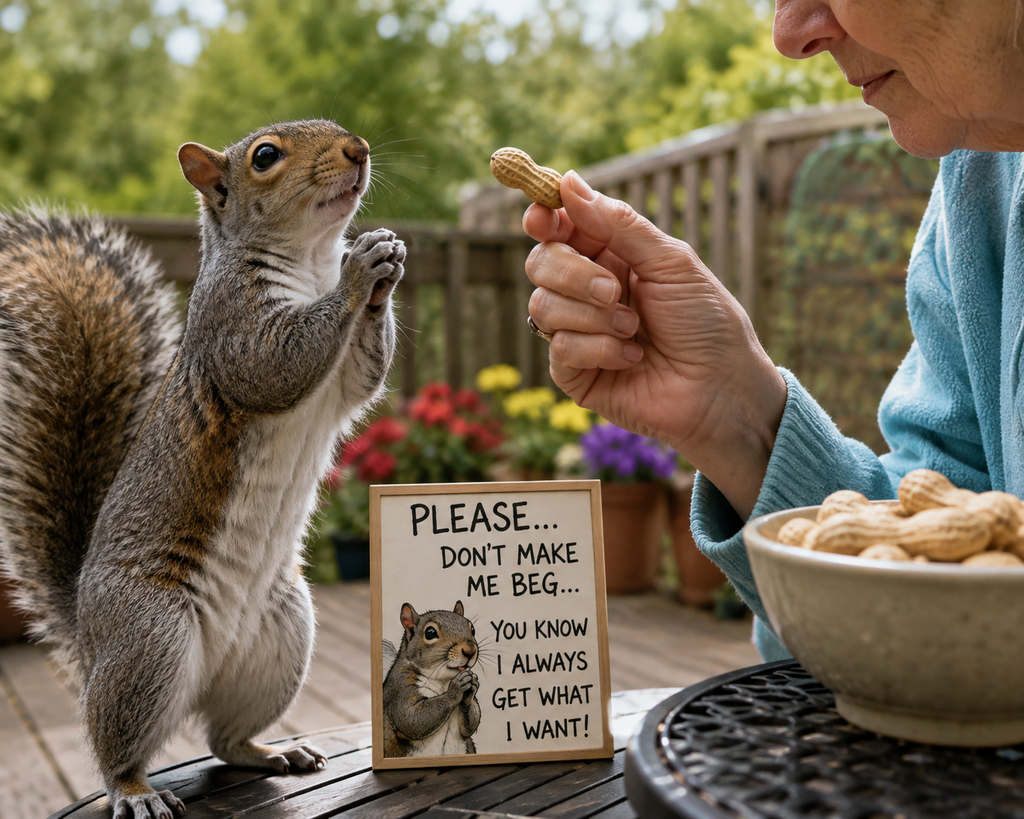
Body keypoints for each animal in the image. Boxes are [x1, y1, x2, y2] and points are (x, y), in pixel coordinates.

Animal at [0, 119, 404, 819]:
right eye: (265, 156)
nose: (357, 150)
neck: (309, 263)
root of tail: (89, 636)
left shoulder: (345, 382)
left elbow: (363, 375)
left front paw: (386, 264)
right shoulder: (232, 327)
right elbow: (278, 362)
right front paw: (361, 271)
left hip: (282, 634)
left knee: (224, 739)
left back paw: (271, 752)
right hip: (150, 636)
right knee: (117, 744)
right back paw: (135, 790)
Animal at [382, 600, 482, 758]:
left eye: (472, 629)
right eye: (430, 632)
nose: (470, 651)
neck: (443, 680)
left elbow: (470, 724)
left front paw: (472, 685)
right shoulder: (401, 688)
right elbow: (410, 718)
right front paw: (455, 690)